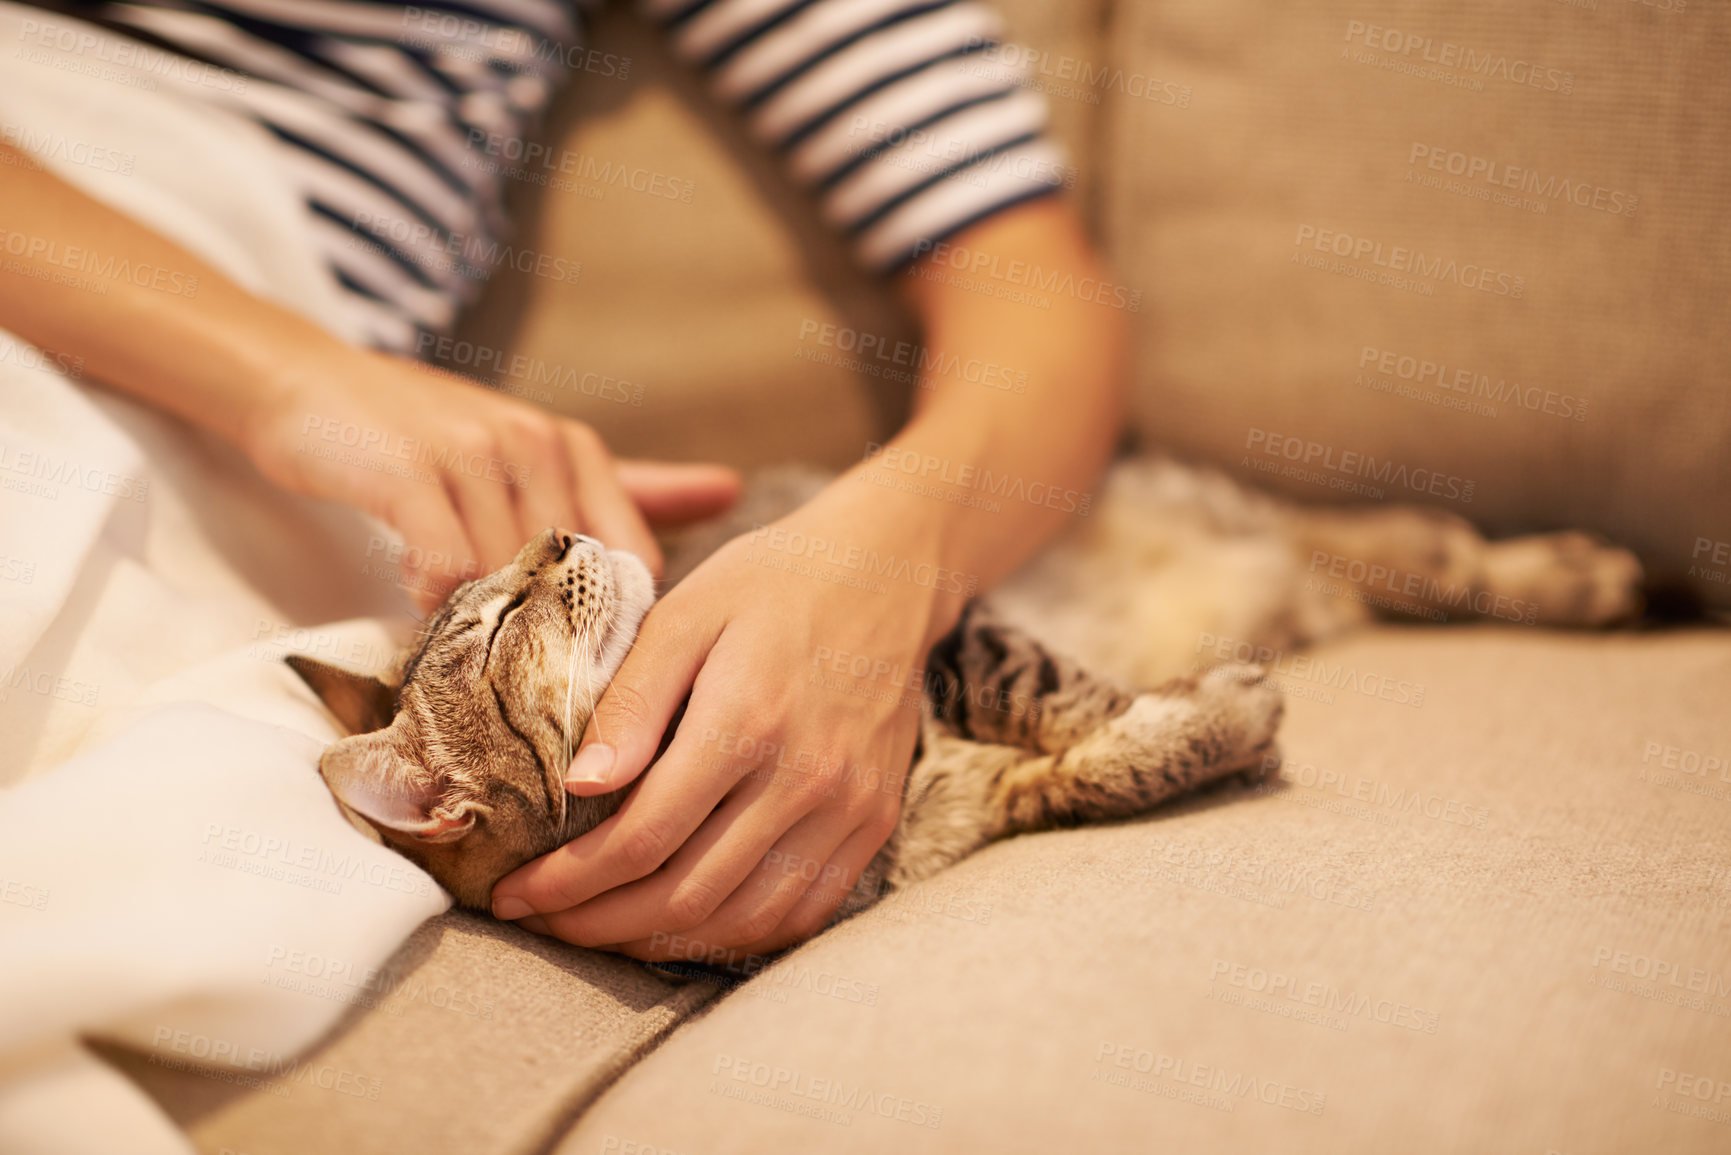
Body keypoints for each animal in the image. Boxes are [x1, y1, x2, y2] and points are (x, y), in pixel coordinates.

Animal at [290, 457, 1640, 914]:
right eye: (500, 621)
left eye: (506, 588)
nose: (562, 531)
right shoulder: (972, 811)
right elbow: (1093, 768)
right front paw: (1210, 725)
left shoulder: (954, 632)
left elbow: (1062, 697)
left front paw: (1206, 718)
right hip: (1291, 578)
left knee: (1411, 540)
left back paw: (1576, 573)